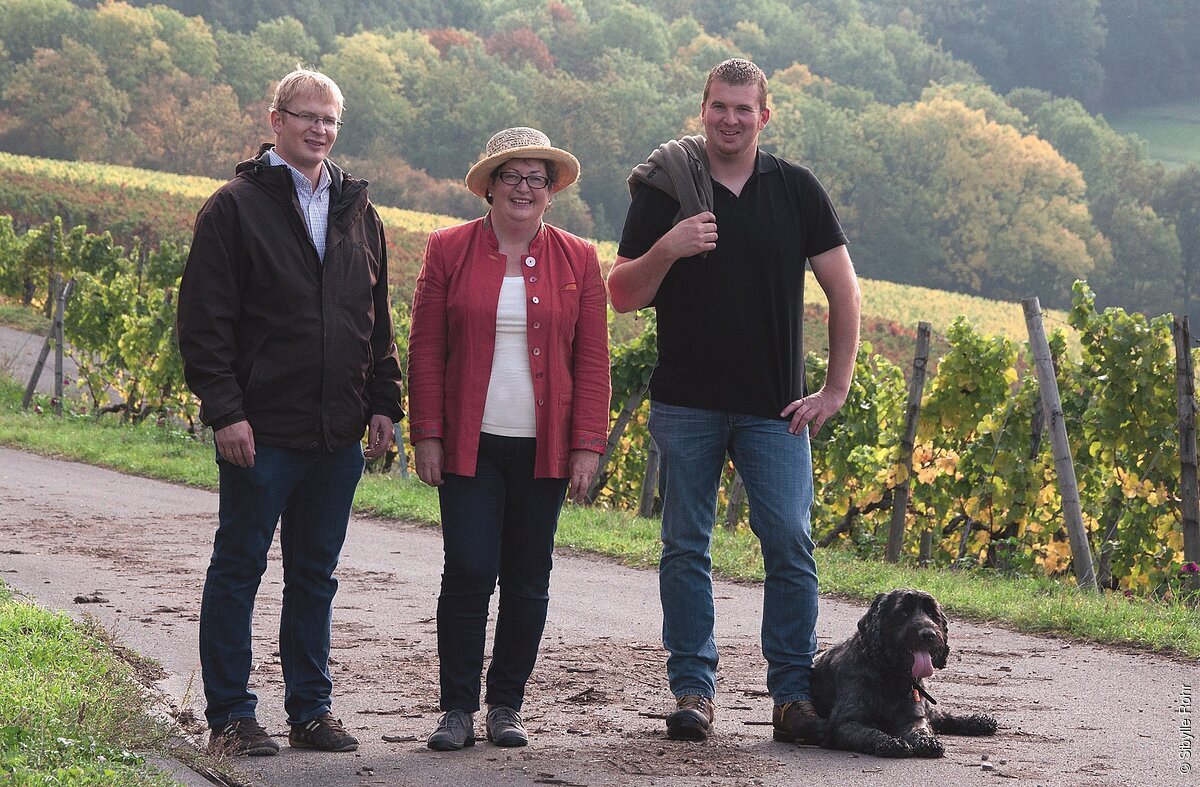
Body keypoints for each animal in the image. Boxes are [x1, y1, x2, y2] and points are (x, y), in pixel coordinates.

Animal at [811, 587, 998, 758]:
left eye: (931, 613)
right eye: (903, 612)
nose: (929, 634)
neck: (892, 677)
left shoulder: (913, 717)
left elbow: (920, 729)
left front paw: (927, 741)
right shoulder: (845, 723)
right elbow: (870, 733)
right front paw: (891, 743)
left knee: (942, 717)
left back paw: (978, 722)